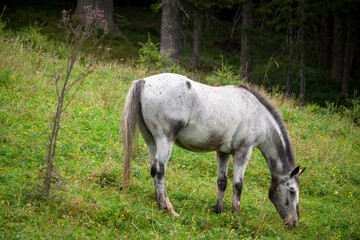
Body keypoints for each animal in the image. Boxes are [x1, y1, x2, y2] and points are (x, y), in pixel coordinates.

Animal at [119, 73, 306, 229]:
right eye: (292, 191)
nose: (294, 223)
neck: (259, 115)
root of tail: (144, 82)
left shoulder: (223, 152)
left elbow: (222, 182)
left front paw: (219, 210)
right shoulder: (243, 151)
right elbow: (238, 185)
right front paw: (235, 214)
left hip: (151, 141)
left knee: (154, 170)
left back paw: (165, 205)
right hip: (165, 140)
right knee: (159, 172)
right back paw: (167, 208)